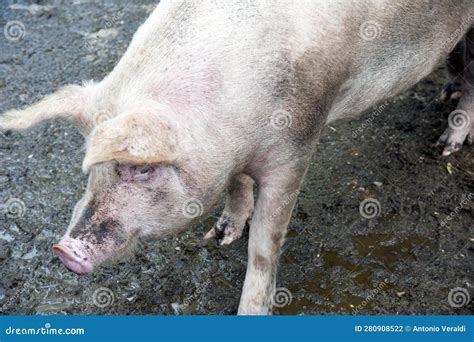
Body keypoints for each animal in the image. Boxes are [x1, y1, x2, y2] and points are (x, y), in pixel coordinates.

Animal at [0, 0, 472, 316]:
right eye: (91, 171)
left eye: (142, 168)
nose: (63, 249)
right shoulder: (228, 156)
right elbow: (236, 184)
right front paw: (220, 235)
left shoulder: (298, 144)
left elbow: (265, 245)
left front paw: (251, 309)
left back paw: (446, 145)